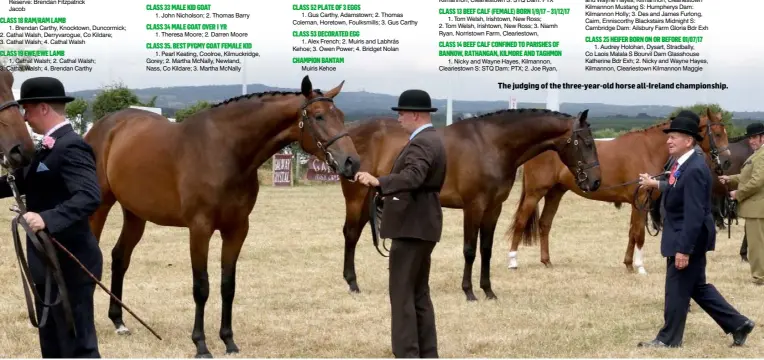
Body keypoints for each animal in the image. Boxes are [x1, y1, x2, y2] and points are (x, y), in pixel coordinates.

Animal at [82, 75, 362, 358]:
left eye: (341, 115)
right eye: (318, 116)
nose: (352, 162)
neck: (225, 151)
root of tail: (101, 127)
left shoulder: (237, 229)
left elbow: (228, 286)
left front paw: (228, 341)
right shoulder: (200, 229)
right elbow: (201, 287)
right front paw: (201, 344)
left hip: (135, 214)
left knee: (120, 257)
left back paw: (119, 322)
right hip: (99, 208)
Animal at [340, 109, 604, 300]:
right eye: (586, 143)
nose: (595, 181)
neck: (491, 145)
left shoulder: (493, 209)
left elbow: (486, 250)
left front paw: (488, 290)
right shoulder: (473, 207)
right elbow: (469, 250)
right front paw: (468, 291)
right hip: (356, 198)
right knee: (350, 234)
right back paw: (352, 283)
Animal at [508, 108, 728, 274]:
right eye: (717, 134)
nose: (726, 161)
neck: (649, 150)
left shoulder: (638, 203)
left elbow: (632, 232)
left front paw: (629, 264)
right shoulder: (641, 200)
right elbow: (639, 233)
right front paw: (640, 267)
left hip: (555, 192)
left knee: (545, 224)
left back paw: (547, 261)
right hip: (535, 193)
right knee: (520, 222)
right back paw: (513, 262)